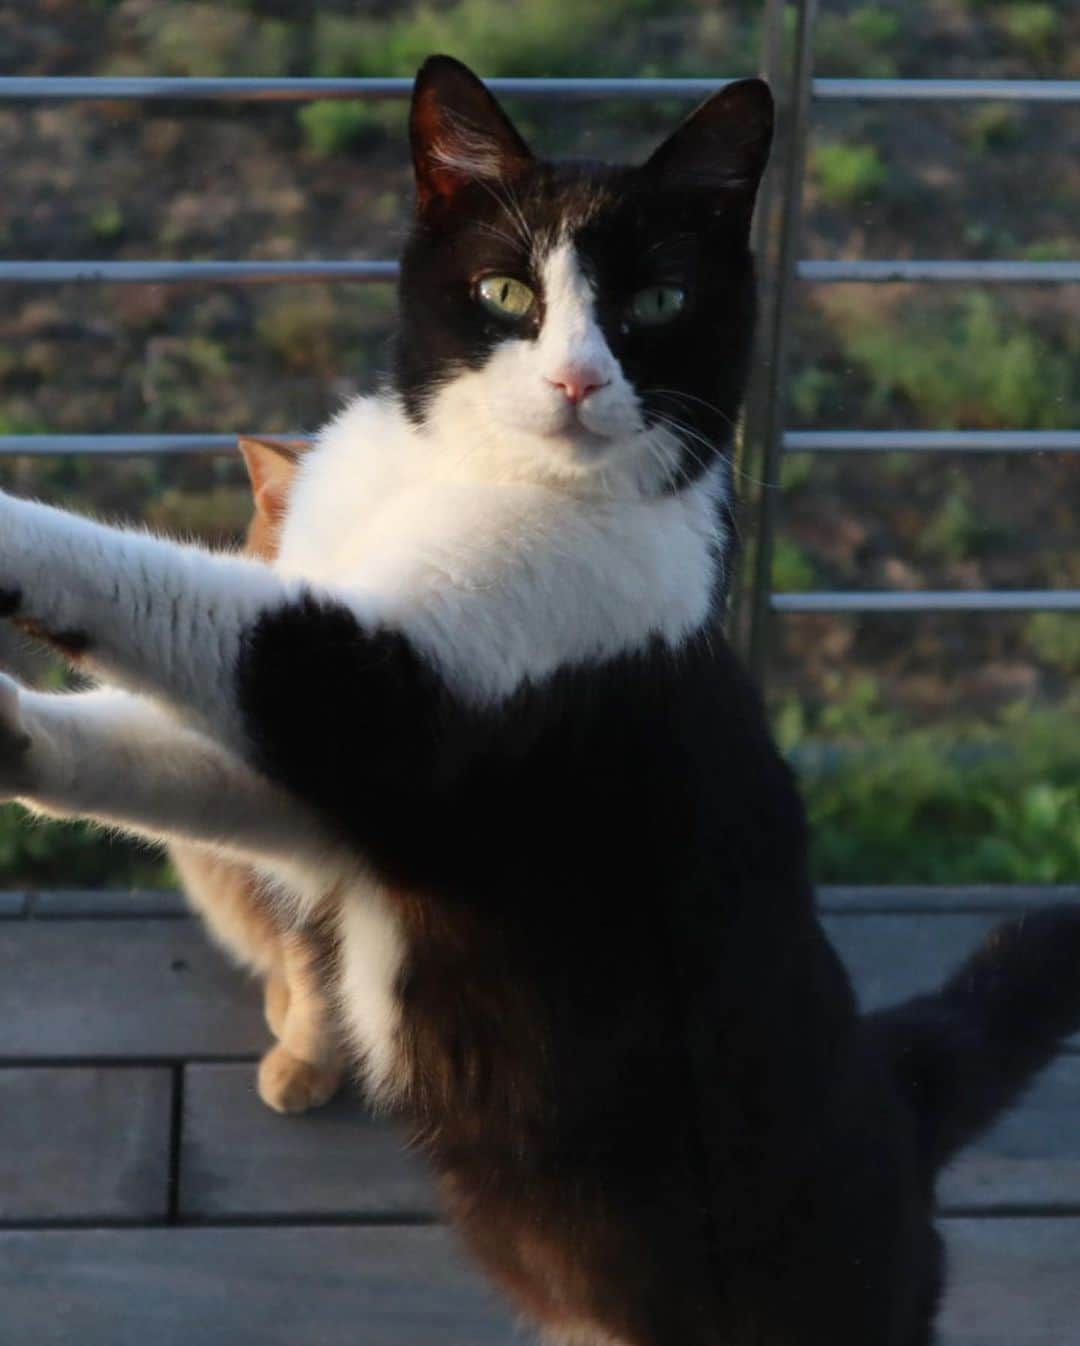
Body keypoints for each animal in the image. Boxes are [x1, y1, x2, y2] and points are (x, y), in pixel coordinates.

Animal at [2, 52, 1077, 1346]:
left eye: (658, 301)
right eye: (505, 289)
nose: (575, 378)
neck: (456, 473)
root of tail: (897, 1088)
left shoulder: (382, 704)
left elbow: (159, 586)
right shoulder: (332, 814)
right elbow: (167, 765)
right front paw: (8, 729)